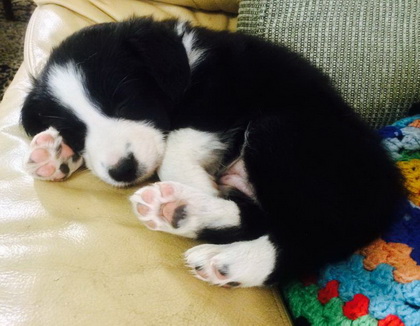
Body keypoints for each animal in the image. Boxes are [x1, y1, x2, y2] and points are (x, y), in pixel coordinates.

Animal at [21, 17, 406, 288]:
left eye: (124, 101)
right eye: (76, 130)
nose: (123, 170)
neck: (185, 59)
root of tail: (389, 193)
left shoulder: (219, 97)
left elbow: (175, 149)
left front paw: (199, 185)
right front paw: (55, 151)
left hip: (284, 131)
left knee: (309, 232)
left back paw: (228, 255)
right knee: (261, 217)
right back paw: (182, 211)